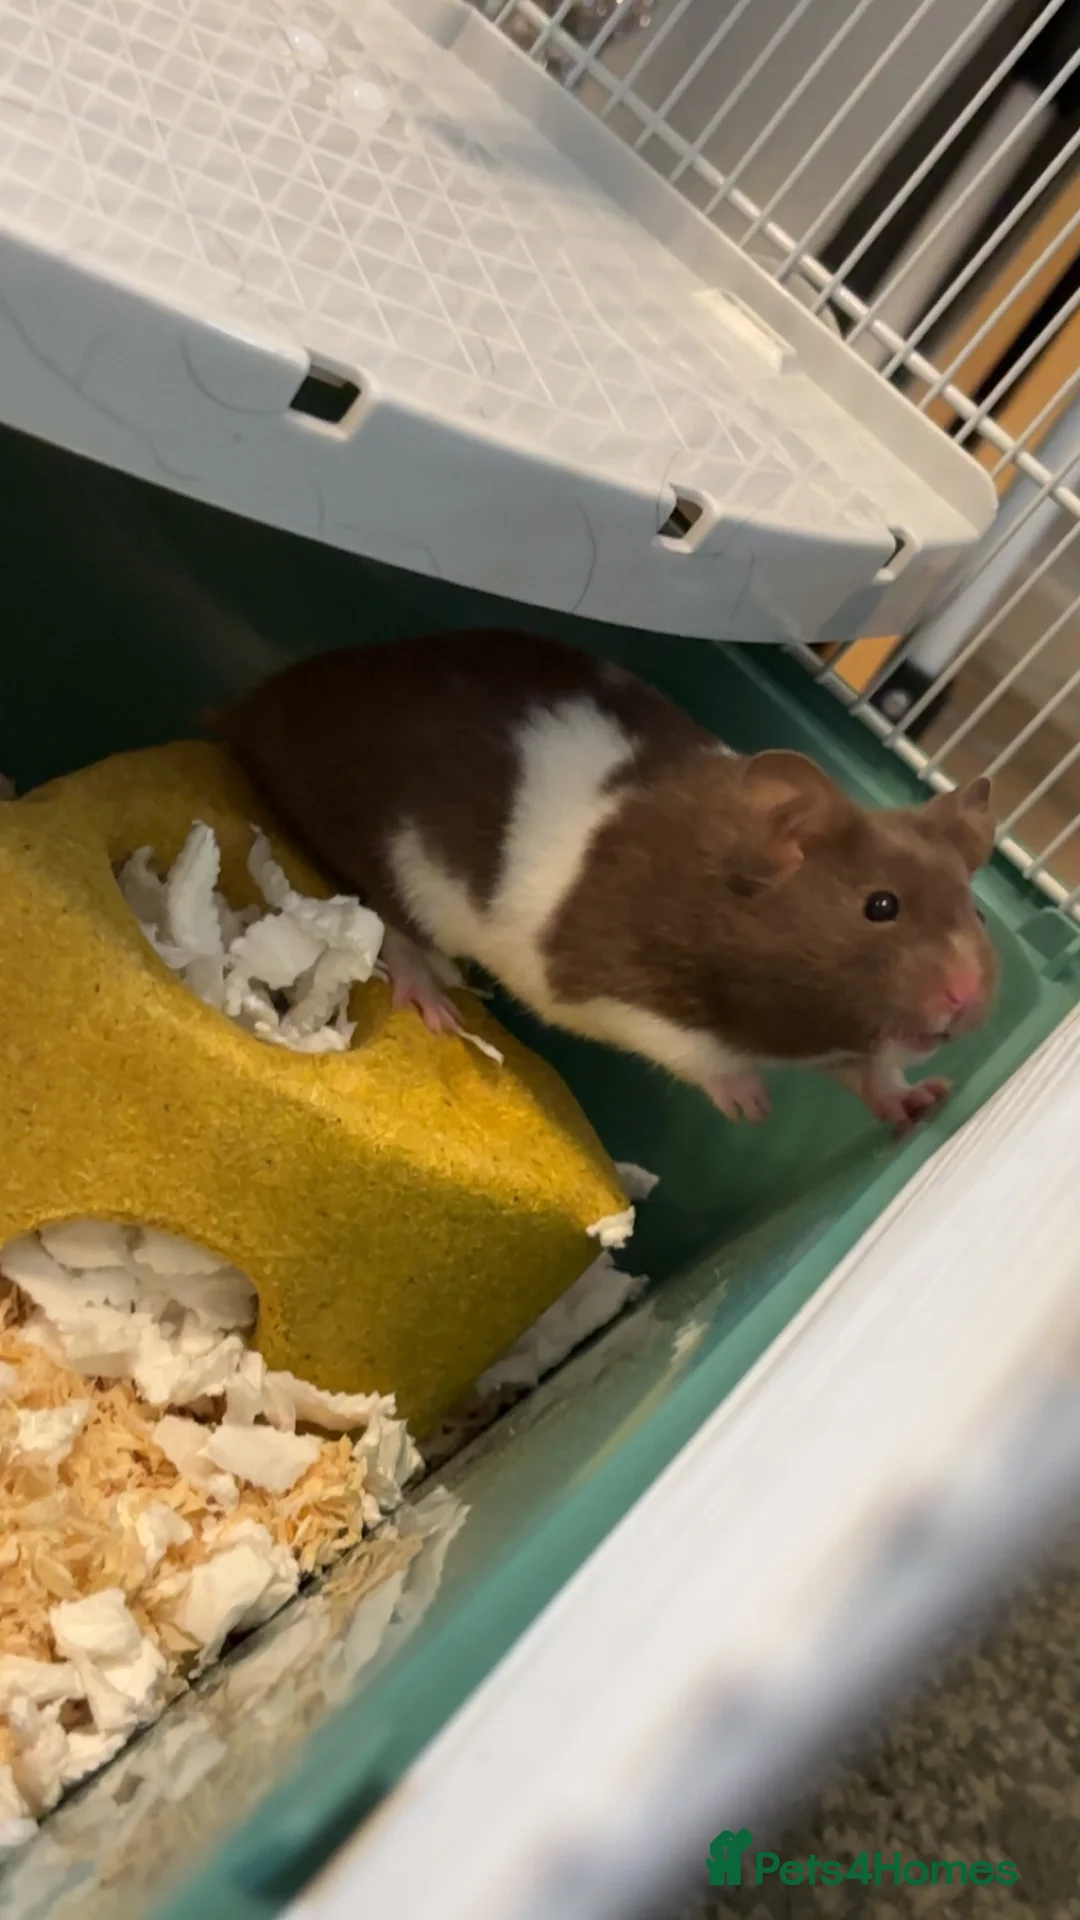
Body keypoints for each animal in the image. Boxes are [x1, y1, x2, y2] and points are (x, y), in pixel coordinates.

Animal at [220, 629, 998, 1133]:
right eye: (880, 906)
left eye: (980, 916)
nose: (966, 1001)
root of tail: (262, 702)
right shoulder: (604, 983)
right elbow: (686, 1046)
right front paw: (751, 1104)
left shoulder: (832, 1034)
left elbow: (868, 1071)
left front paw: (925, 1098)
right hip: (400, 862)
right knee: (394, 927)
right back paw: (435, 1005)